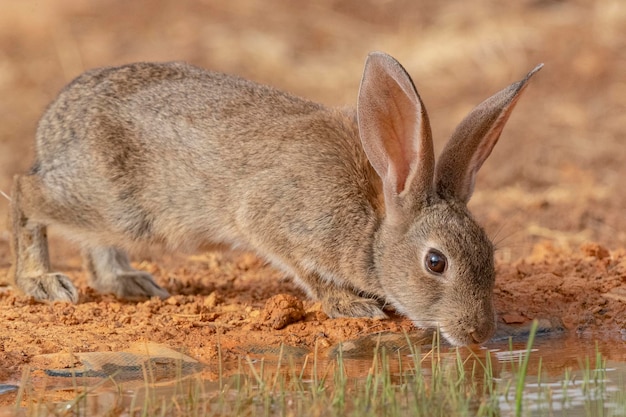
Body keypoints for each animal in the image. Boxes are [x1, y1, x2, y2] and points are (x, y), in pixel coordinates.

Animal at [7, 52, 540, 344]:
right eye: (435, 262)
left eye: (490, 253)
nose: (480, 333)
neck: (373, 225)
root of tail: (55, 123)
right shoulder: (272, 220)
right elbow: (306, 272)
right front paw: (352, 307)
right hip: (114, 205)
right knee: (23, 191)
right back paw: (42, 282)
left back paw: (127, 282)